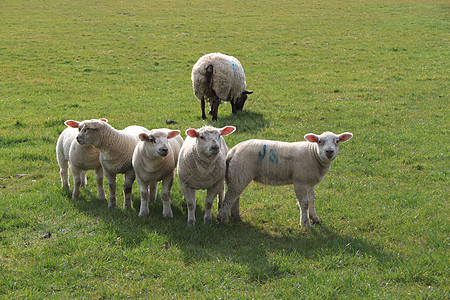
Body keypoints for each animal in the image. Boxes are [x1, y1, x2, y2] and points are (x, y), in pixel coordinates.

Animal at [216, 131, 354, 227]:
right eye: (320, 141)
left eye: (337, 141)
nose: (329, 151)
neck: (313, 154)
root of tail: (233, 151)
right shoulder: (300, 182)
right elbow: (304, 203)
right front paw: (305, 223)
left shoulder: (310, 183)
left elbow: (312, 200)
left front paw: (314, 218)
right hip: (239, 173)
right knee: (229, 198)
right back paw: (221, 219)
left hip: (237, 175)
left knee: (235, 196)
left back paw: (236, 217)